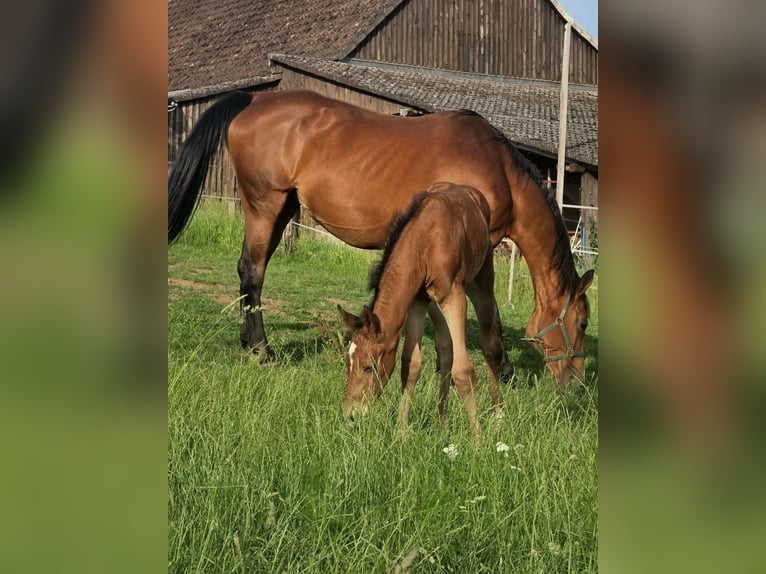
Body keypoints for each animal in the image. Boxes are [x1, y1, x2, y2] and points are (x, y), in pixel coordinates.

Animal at [168, 89, 594, 388]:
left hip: (283, 209)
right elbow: (486, 314)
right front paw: (502, 370)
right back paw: (261, 350)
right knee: (252, 272)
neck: (498, 170)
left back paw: (249, 343)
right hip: (264, 204)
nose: (575, 381)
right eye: (584, 322)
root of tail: (255, 99)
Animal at [337, 183, 505, 437]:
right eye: (348, 363)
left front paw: (478, 439)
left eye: (369, 367)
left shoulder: (453, 296)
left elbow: (464, 371)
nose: (351, 415)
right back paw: (442, 421)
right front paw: (401, 431)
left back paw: (497, 416)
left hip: (481, 283)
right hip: (435, 305)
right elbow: (411, 365)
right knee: (446, 351)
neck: (426, 239)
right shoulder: (417, 301)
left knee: (490, 346)